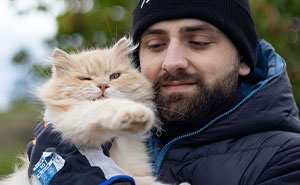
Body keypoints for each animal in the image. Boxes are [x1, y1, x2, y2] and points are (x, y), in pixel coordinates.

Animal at [0, 36, 189, 184]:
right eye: (85, 79)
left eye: (115, 76)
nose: (103, 85)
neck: (118, 138)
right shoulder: (71, 123)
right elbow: (102, 108)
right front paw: (135, 115)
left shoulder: (137, 170)